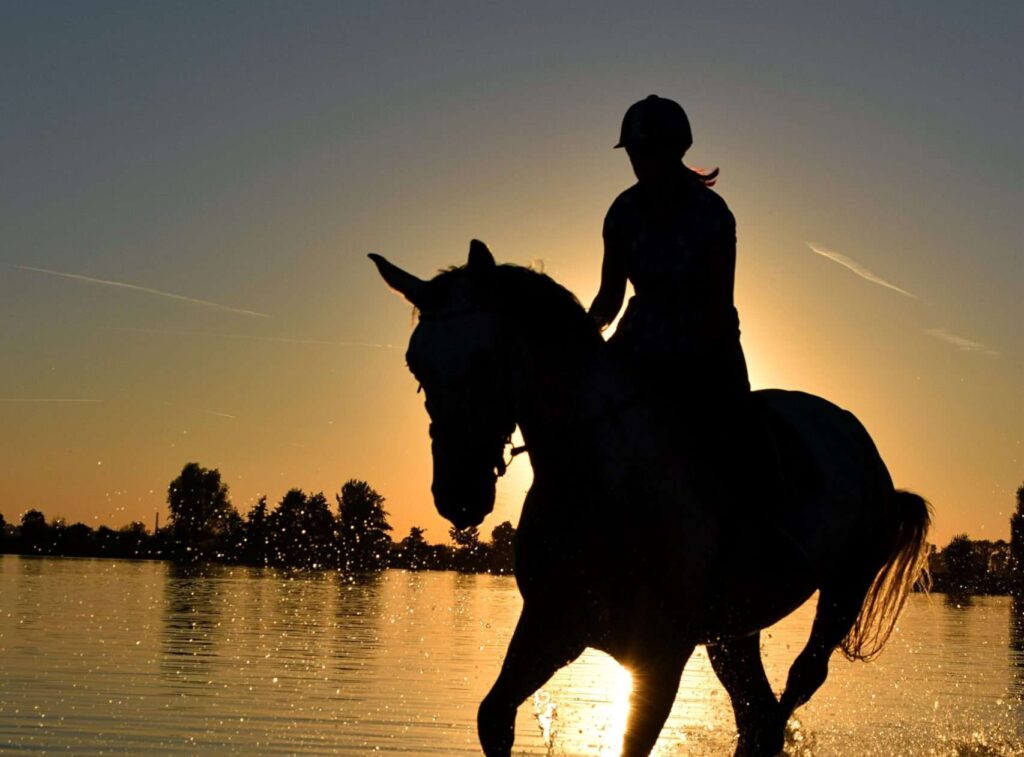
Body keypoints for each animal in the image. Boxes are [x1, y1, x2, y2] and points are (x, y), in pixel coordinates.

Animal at [372, 242, 933, 757]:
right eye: (415, 364)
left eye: (487, 359)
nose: (458, 495)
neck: (606, 482)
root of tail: (859, 441)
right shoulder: (552, 626)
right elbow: (493, 717)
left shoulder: (660, 656)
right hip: (734, 633)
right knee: (756, 717)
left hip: (842, 592)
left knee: (794, 688)